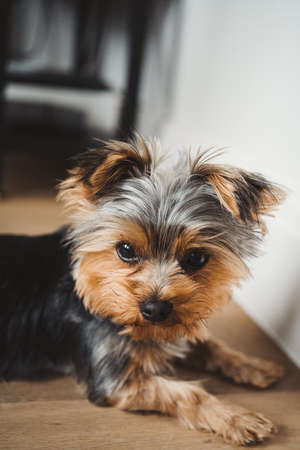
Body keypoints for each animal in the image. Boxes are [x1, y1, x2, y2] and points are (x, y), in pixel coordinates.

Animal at [0, 135, 286, 444]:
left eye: (197, 258)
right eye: (125, 250)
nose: (156, 309)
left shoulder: (174, 327)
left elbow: (209, 343)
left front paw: (255, 366)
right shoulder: (115, 381)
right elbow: (188, 393)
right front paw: (237, 418)